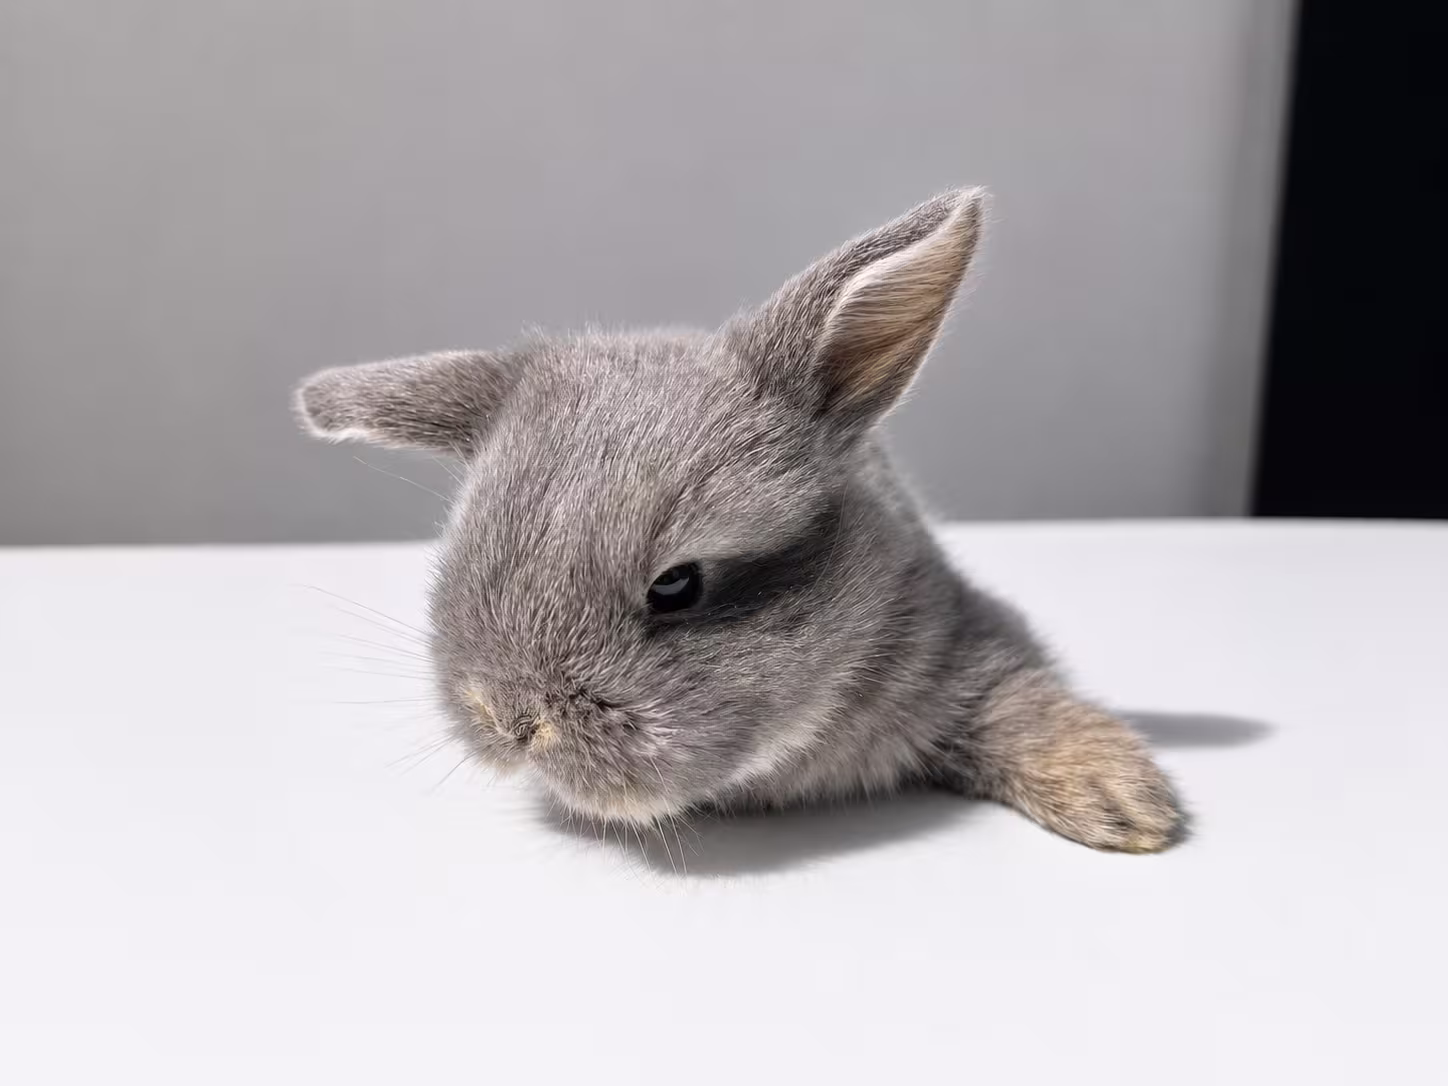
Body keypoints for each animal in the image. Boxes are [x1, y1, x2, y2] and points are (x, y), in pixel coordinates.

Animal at [295, 189, 1185, 853]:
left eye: (677, 586)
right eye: (465, 553)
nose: (511, 720)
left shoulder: (970, 643)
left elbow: (1023, 704)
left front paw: (1128, 803)